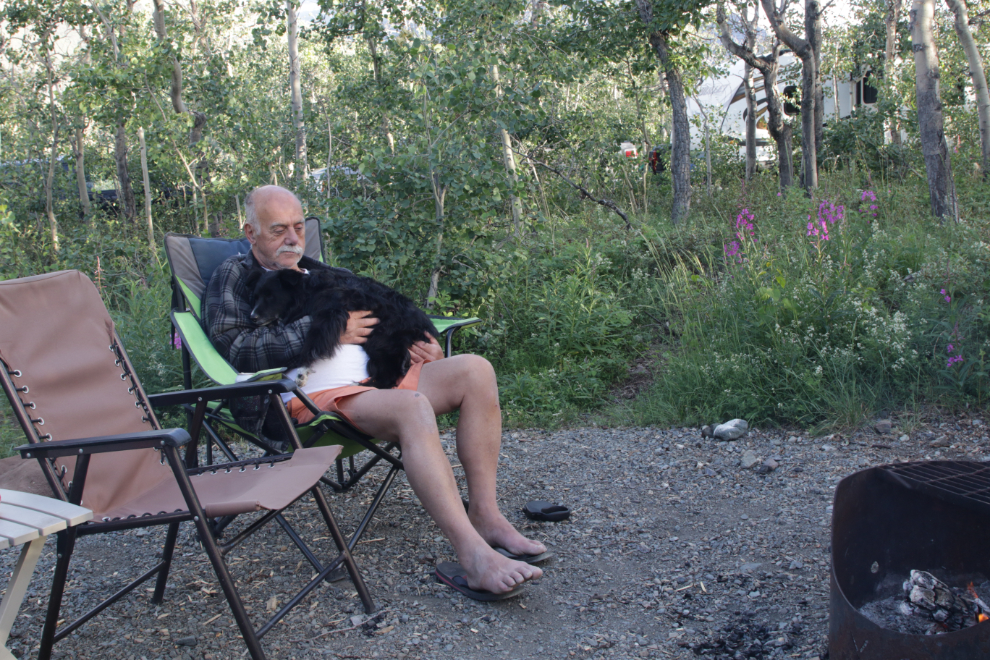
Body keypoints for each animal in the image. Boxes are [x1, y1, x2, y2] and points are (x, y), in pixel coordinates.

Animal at [247, 266, 438, 390]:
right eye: (255, 297)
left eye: (270, 296)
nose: (252, 317)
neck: (307, 292)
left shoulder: (330, 313)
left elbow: (312, 342)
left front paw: (303, 368)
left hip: (380, 341)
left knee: (389, 376)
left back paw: (363, 384)